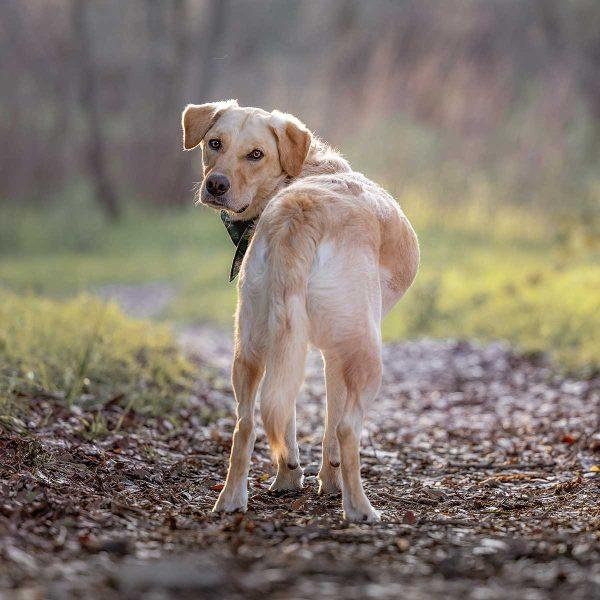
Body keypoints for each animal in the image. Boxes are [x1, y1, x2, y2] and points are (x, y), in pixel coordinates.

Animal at [180, 99, 420, 520]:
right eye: (215, 143)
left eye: (255, 154)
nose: (216, 186)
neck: (302, 174)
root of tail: (300, 212)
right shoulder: (333, 355)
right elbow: (331, 429)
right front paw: (330, 482)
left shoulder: (291, 343)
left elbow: (286, 415)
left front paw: (289, 475)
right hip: (364, 352)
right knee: (347, 429)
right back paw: (361, 510)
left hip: (249, 345)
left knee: (246, 423)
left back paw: (231, 500)